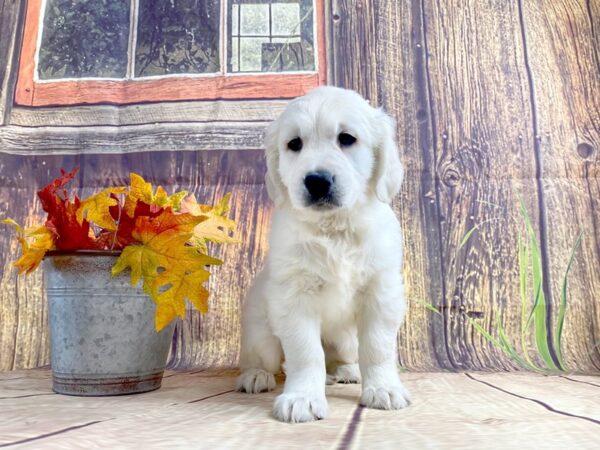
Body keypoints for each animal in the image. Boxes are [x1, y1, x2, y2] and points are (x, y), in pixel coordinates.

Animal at [237, 85, 410, 422]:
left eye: (347, 138)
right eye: (294, 144)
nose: (317, 181)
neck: (334, 230)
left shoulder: (381, 291)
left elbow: (378, 346)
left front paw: (383, 388)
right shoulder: (294, 297)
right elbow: (305, 353)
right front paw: (302, 398)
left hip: (345, 341)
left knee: (342, 356)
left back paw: (347, 371)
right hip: (260, 334)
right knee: (262, 357)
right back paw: (255, 376)